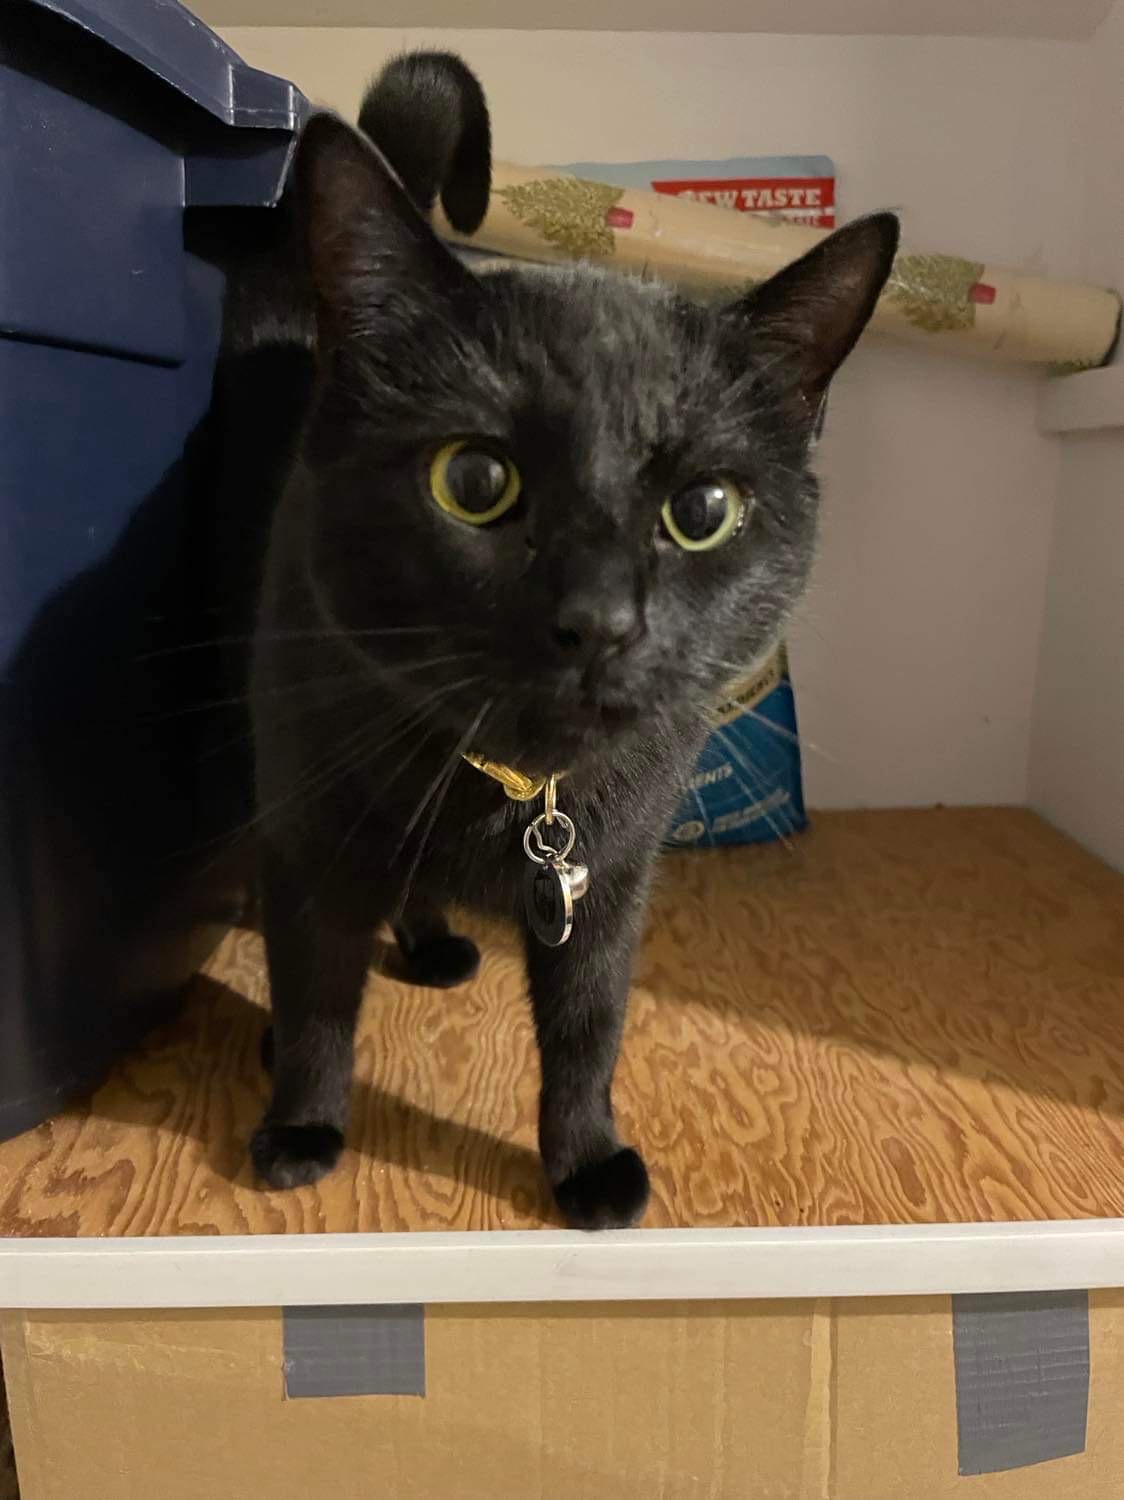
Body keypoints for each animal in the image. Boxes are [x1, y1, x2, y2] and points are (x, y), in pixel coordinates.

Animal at [243, 52, 898, 1229]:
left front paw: (587, 1162)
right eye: (471, 481)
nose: (599, 621)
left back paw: (434, 942)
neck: (515, 786)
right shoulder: (310, 826)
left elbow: (589, 1028)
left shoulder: (610, 877)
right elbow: (315, 992)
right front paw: (301, 1129)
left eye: (704, 509)